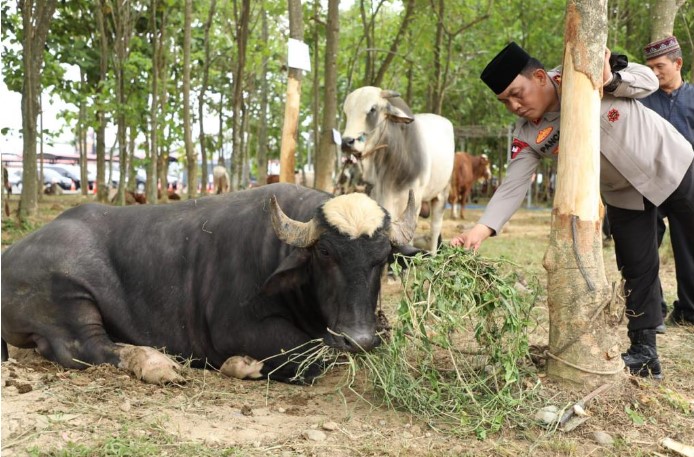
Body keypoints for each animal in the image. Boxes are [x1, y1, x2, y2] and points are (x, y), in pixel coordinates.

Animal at [1, 183, 418, 382]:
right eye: (326, 254)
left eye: (383, 257)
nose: (358, 339)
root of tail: (11, 255)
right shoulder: (237, 330)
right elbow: (312, 359)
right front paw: (241, 365)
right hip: (72, 297)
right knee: (82, 347)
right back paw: (157, 364)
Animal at [342, 85, 456, 253]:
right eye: (346, 112)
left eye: (372, 109)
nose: (346, 142)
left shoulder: (413, 200)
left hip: (441, 194)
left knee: (435, 229)